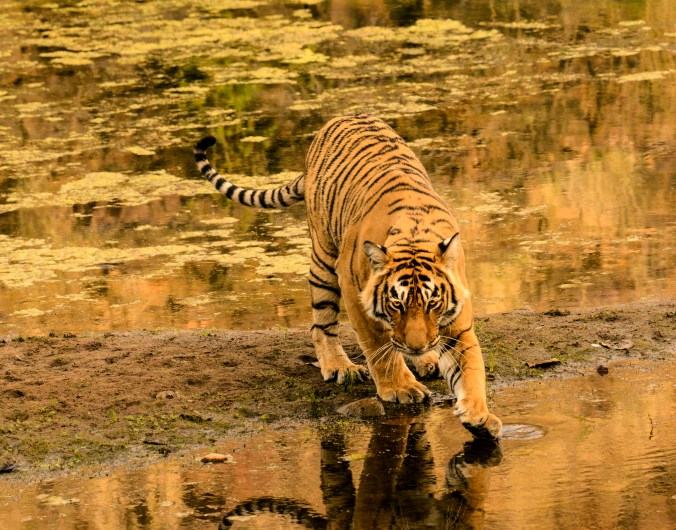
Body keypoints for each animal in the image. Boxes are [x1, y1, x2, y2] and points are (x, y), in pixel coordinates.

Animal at [194, 114, 502, 439]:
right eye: (397, 304)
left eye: (433, 304)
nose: (417, 347)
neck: (414, 235)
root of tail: (340, 118)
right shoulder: (356, 295)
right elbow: (379, 348)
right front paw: (400, 387)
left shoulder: (456, 320)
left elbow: (470, 366)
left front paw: (479, 415)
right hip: (324, 257)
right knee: (321, 324)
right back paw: (342, 367)